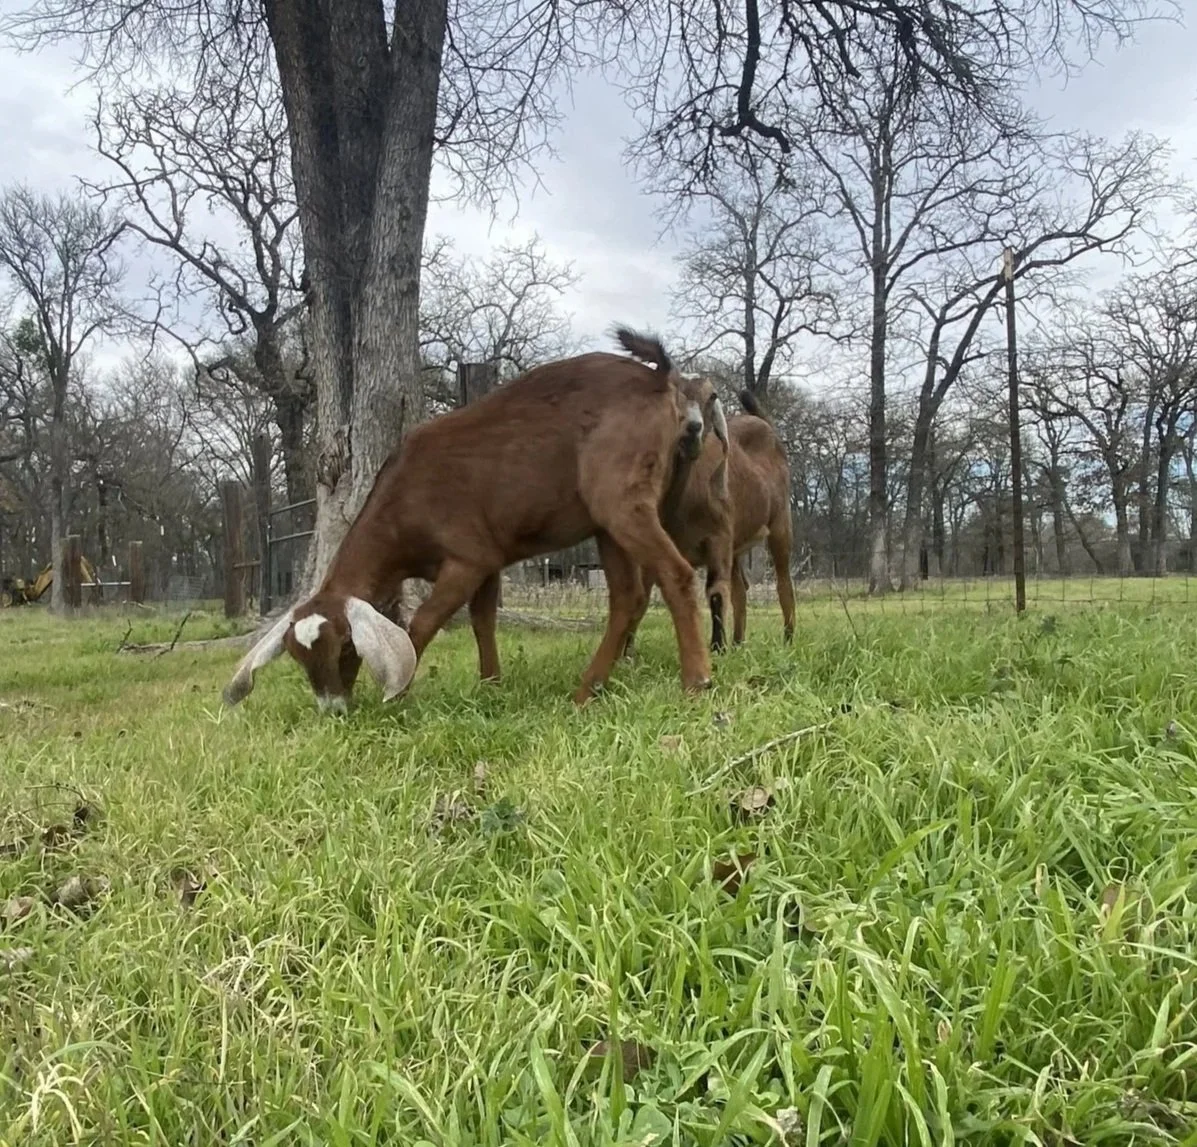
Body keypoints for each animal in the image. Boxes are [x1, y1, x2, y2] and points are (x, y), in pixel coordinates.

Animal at [223, 329, 729, 712]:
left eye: (347, 647)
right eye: (297, 658)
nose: (334, 711)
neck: (402, 511)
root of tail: (660, 380)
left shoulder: (467, 557)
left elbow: (422, 624)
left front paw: (401, 696)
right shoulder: (489, 557)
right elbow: (483, 620)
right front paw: (490, 685)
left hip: (621, 498)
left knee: (675, 574)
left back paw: (696, 681)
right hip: (608, 521)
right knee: (628, 597)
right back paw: (587, 691)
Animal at [623, 388, 795, 656]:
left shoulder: (718, 537)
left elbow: (716, 593)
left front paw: (716, 649)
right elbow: (640, 598)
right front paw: (626, 653)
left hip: (780, 524)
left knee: (783, 583)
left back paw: (787, 640)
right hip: (736, 543)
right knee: (740, 590)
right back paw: (738, 643)